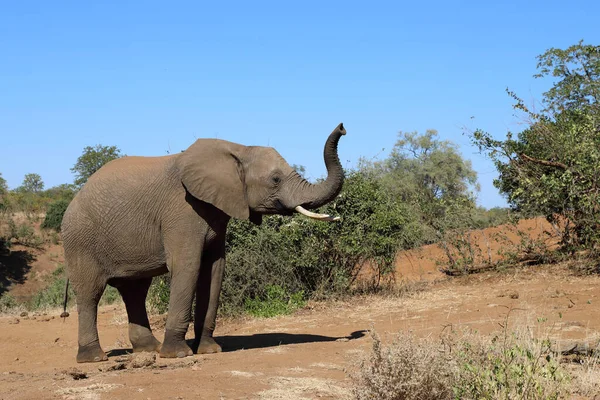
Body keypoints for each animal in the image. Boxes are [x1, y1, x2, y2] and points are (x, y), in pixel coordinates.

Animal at [61, 122, 346, 362]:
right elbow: (187, 267)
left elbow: (214, 270)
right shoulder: (182, 211)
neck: (238, 149)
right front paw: (178, 355)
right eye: (275, 179)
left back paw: (148, 349)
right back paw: (94, 358)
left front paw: (209, 350)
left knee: (135, 291)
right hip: (79, 240)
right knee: (90, 293)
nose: (342, 127)